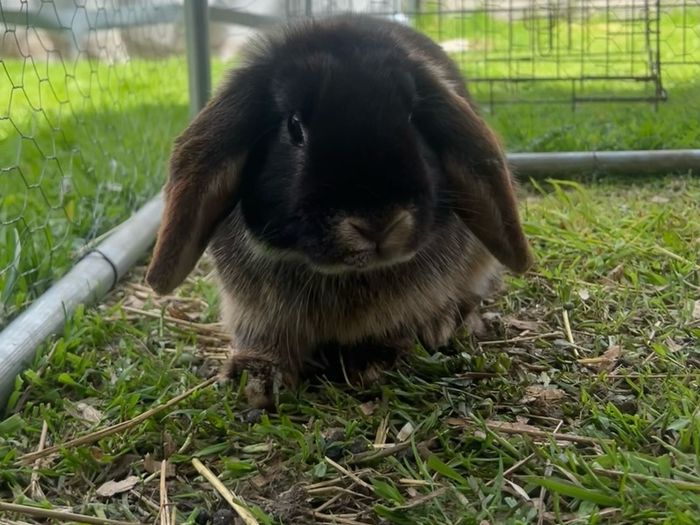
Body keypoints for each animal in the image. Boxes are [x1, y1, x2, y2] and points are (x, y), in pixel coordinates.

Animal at [145, 14, 532, 408]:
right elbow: (262, 338)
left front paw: (373, 361)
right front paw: (256, 379)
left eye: (412, 117)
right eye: (294, 126)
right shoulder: (252, 310)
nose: (378, 223)